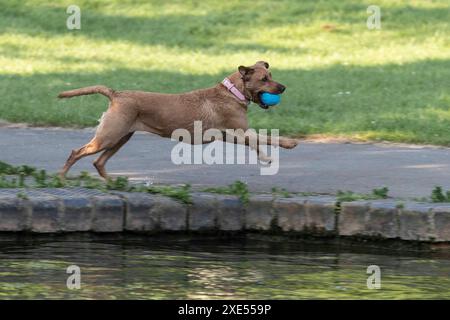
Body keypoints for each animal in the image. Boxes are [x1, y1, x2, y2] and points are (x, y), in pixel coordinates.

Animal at [57, 61, 298, 179]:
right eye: (264, 79)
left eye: (271, 75)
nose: (284, 88)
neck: (232, 92)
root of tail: (116, 94)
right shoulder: (240, 131)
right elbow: (264, 138)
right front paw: (283, 147)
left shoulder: (230, 136)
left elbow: (258, 141)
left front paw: (269, 154)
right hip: (109, 136)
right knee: (76, 153)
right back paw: (60, 178)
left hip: (121, 137)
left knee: (98, 162)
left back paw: (114, 184)